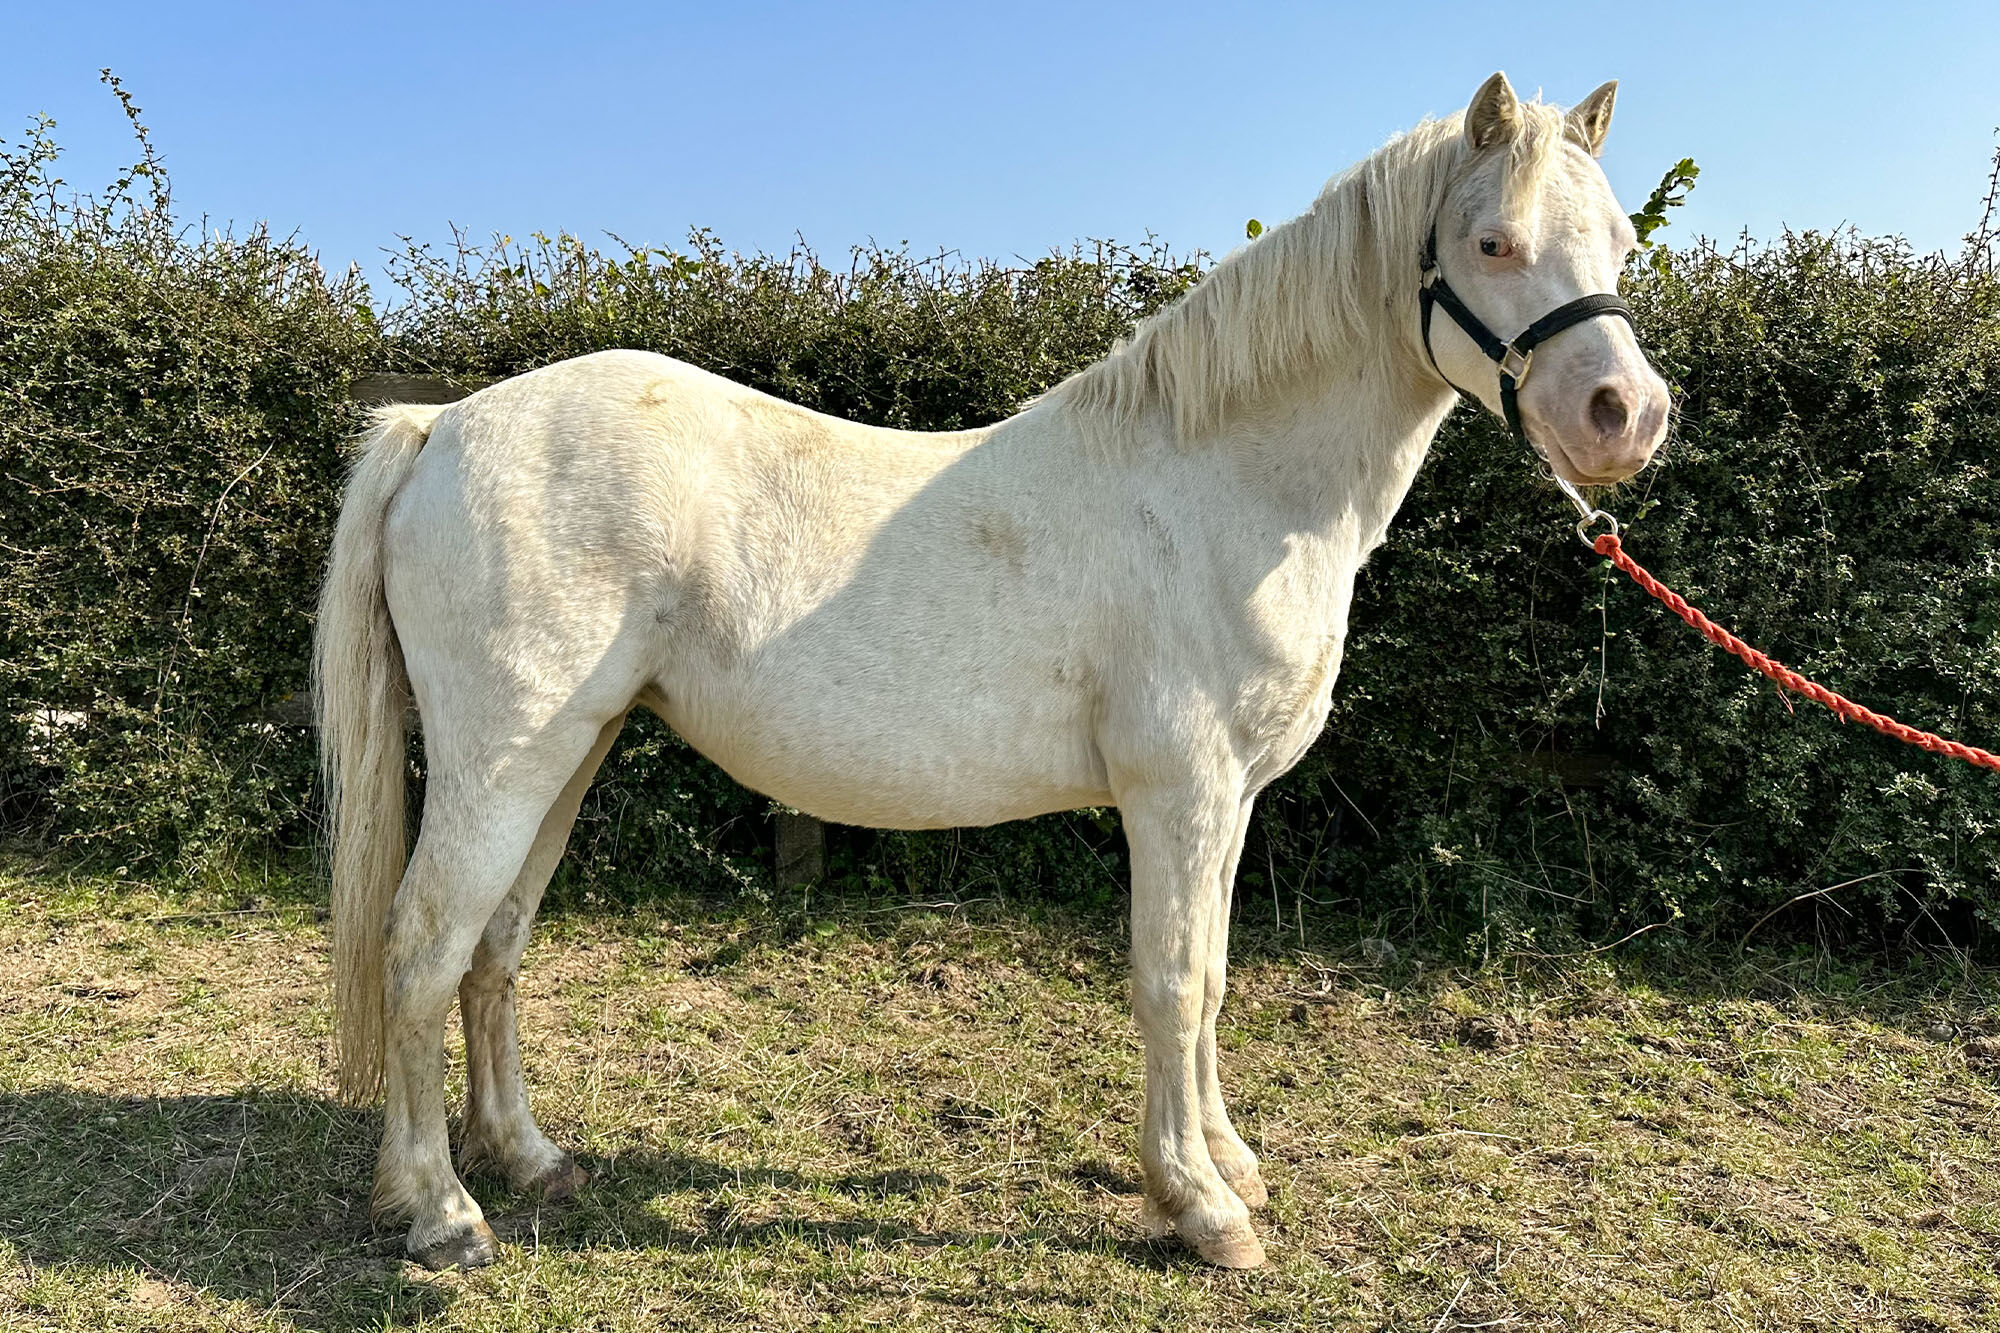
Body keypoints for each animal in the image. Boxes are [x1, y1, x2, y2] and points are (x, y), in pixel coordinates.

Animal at [320, 72, 1672, 1264]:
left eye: (1617, 240)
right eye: (1491, 240)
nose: (1624, 415)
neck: (1221, 485)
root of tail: (442, 425)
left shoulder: (1229, 800)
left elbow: (1216, 977)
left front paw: (1229, 1162)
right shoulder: (1175, 791)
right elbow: (1170, 979)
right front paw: (1197, 1206)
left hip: (573, 748)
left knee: (494, 946)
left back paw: (528, 1158)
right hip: (504, 761)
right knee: (423, 946)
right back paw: (443, 1212)